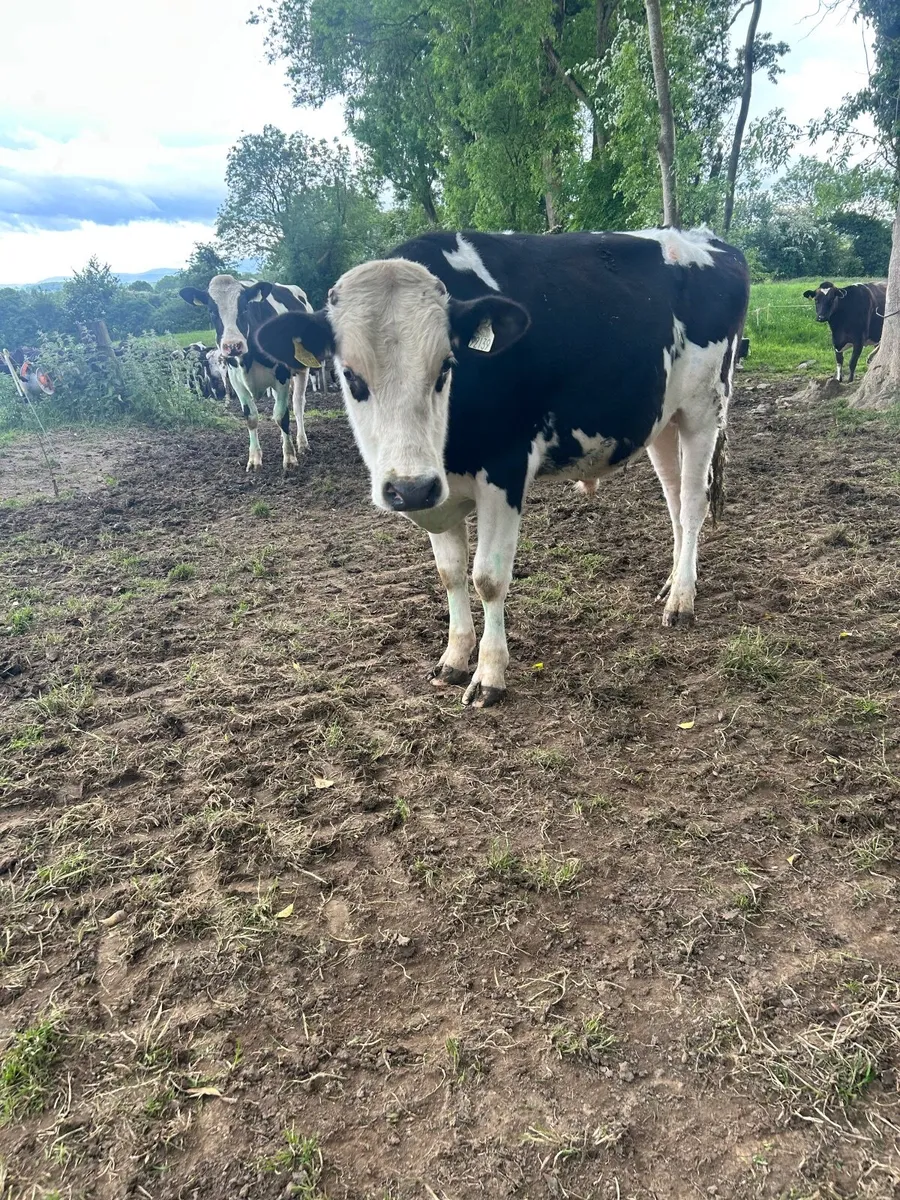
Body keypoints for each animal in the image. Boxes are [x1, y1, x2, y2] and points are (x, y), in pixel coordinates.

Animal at [179, 275, 313, 471]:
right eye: (212, 311)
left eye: (244, 308)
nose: (233, 345)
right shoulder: (236, 380)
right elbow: (251, 417)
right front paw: (254, 459)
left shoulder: (282, 375)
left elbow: (282, 416)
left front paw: (289, 457)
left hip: (302, 368)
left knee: (297, 405)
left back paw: (302, 443)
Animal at [254, 228, 750, 708]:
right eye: (351, 376)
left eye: (446, 367)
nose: (408, 489)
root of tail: (706, 239)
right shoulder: (440, 492)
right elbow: (450, 573)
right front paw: (454, 657)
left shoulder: (505, 471)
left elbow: (488, 579)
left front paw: (489, 675)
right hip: (662, 420)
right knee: (673, 500)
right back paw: (673, 582)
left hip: (704, 408)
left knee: (692, 503)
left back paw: (682, 600)